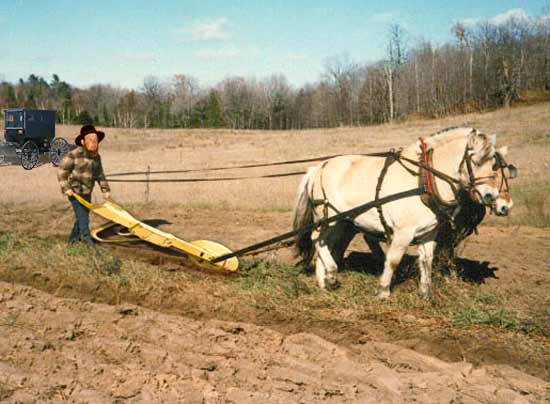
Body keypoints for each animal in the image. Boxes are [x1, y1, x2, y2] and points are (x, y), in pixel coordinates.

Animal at [296, 128, 516, 298]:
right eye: (477, 161)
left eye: (503, 170)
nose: (503, 204)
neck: (423, 181)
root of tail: (319, 167)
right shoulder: (403, 232)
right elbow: (393, 259)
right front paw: (383, 291)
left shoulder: (429, 233)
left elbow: (426, 260)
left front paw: (426, 293)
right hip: (327, 217)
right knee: (317, 238)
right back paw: (331, 274)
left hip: (342, 221)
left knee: (326, 243)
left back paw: (323, 282)